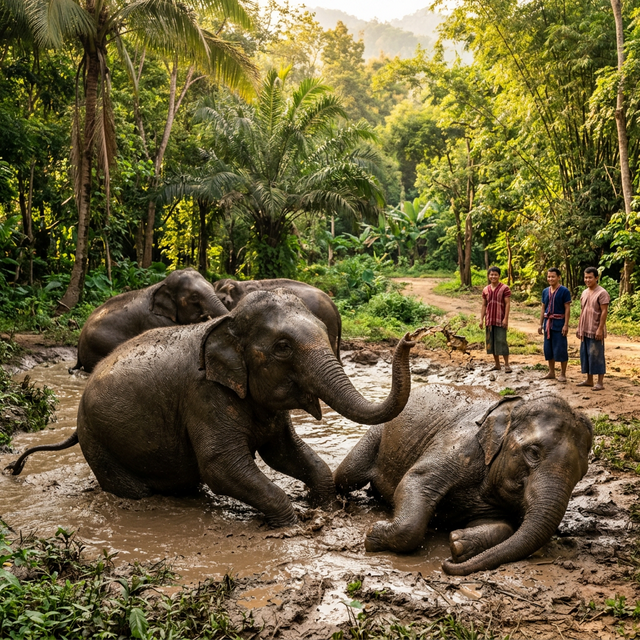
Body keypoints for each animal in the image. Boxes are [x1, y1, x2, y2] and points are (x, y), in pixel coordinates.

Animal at [8, 290, 416, 527]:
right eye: (283, 347)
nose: (411, 338)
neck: (227, 324)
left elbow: (285, 452)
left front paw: (322, 505)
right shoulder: (203, 396)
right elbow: (221, 465)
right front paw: (294, 522)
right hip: (99, 443)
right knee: (134, 489)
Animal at [334, 384, 592, 575]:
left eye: (583, 472)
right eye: (533, 452)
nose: (445, 563)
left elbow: (503, 525)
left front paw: (459, 544)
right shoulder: (458, 447)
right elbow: (415, 482)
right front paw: (372, 535)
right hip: (378, 432)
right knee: (347, 475)